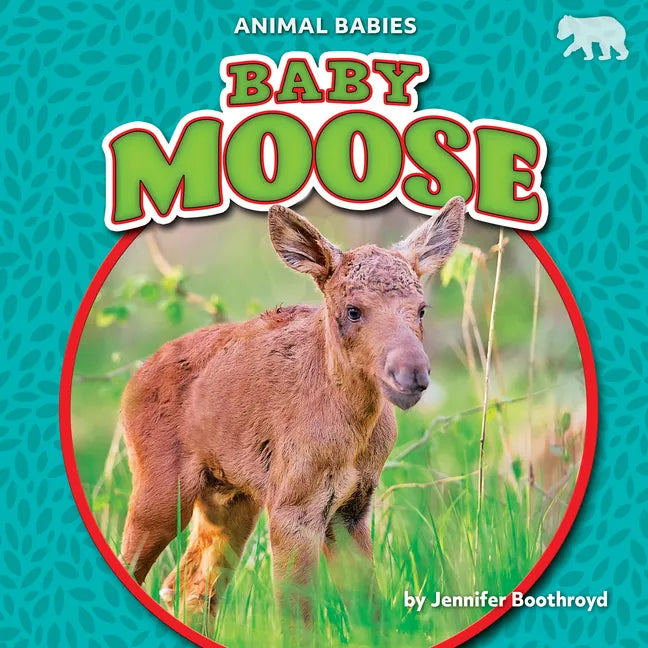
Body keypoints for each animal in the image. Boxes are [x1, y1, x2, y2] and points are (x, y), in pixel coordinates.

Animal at [119, 196, 466, 624]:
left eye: (421, 309)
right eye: (353, 310)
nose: (412, 372)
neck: (353, 434)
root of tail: (133, 381)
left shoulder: (352, 507)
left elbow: (369, 610)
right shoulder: (293, 506)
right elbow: (298, 616)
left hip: (229, 497)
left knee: (190, 583)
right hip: (161, 491)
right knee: (142, 566)